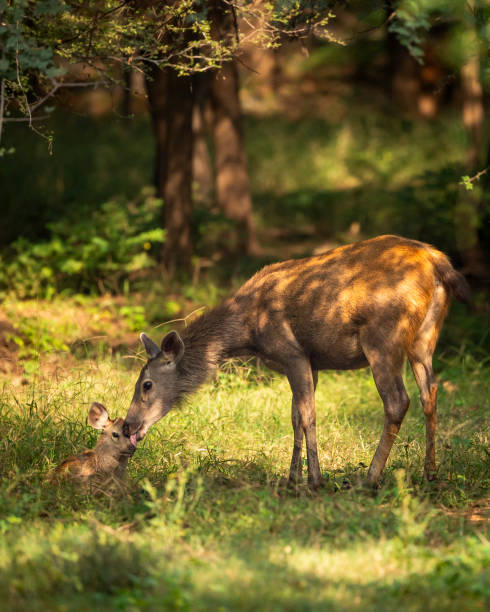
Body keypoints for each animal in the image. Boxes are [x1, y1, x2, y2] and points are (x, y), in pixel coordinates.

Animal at [122, 234, 470, 488]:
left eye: (146, 384)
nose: (127, 425)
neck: (248, 330)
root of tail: (437, 261)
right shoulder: (310, 362)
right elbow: (294, 416)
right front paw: (292, 477)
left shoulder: (293, 353)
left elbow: (307, 415)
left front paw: (314, 479)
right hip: (424, 338)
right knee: (430, 393)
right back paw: (430, 473)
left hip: (383, 338)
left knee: (398, 401)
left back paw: (370, 478)